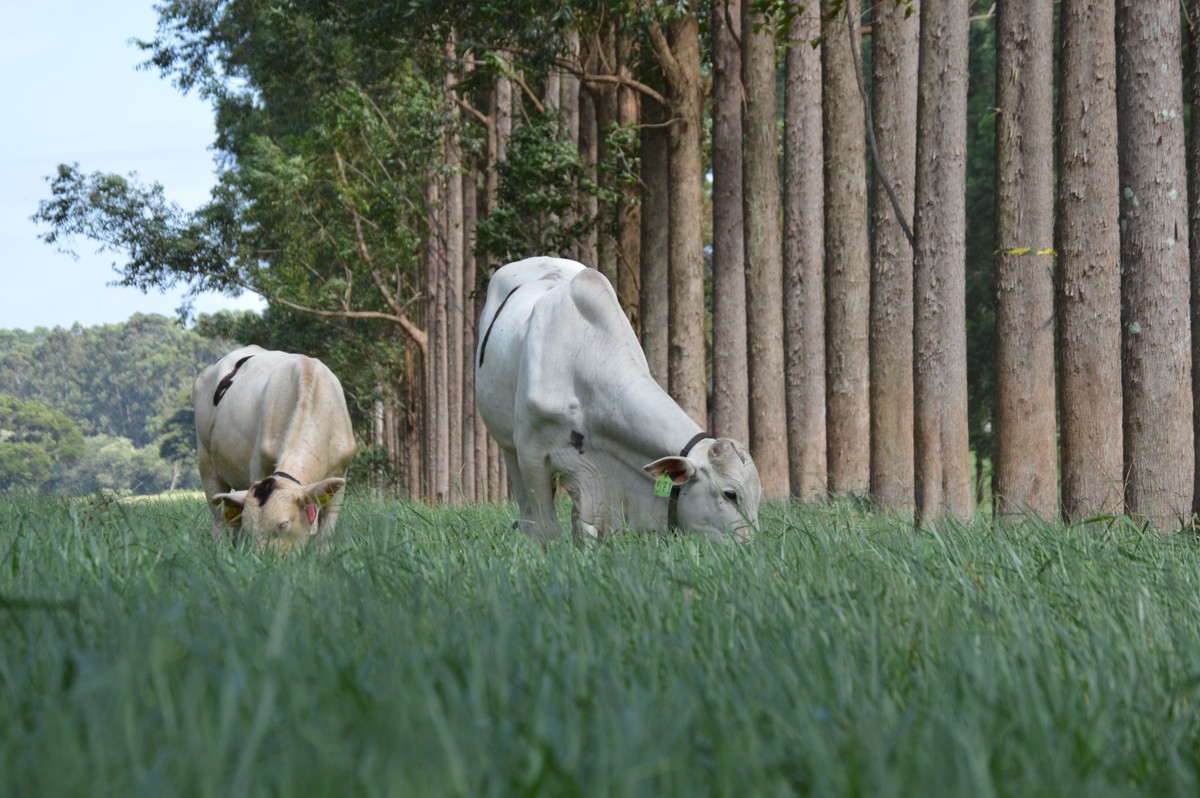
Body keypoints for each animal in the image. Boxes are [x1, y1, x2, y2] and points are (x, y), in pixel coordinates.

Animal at [193, 345, 355, 552]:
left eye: (283, 524)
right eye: (251, 528)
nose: (263, 558)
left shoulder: (341, 475)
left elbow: (325, 534)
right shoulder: (259, 468)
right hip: (206, 460)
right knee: (218, 517)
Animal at [475, 255, 763, 542]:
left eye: (758, 496)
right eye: (731, 494)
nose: (750, 546)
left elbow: (586, 527)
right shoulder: (531, 453)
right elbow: (547, 527)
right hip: (507, 443)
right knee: (526, 505)